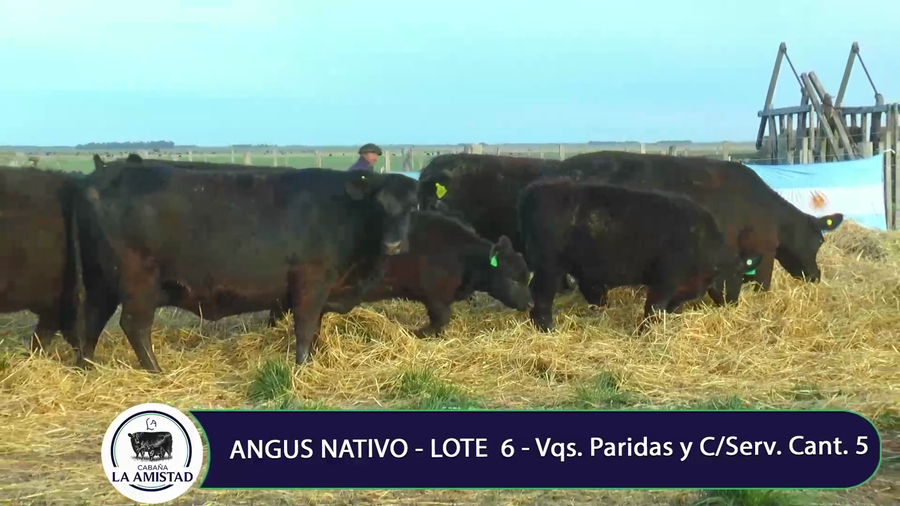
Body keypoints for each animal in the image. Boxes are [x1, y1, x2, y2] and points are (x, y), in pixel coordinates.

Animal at [74, 156, 419, 372]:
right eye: (378, 205)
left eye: (413, 207)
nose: (394, 244)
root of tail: (102, 175)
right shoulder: (311, 280)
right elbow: (306, 327)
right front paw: (302, 367)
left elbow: (316, 328)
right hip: (138, 280)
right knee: (135, 325)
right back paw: (156, 372)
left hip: (101, 281)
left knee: (91, 319)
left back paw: (85, 367)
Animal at [267, 210, 534, 336]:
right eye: (512, 277)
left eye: (526, 276)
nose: (530, 303)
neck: (461, 254)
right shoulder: (435, 297)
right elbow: (441, 319)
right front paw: (419, 333)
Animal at [517, 179, 763, 332]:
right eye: (738, 276)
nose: (733, 303)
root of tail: (536, 189)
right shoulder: (665, 281)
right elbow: (654, 308)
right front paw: (646, 332)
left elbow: (671, 308)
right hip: (549, 269)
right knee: (541, 296)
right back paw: (548, 328)